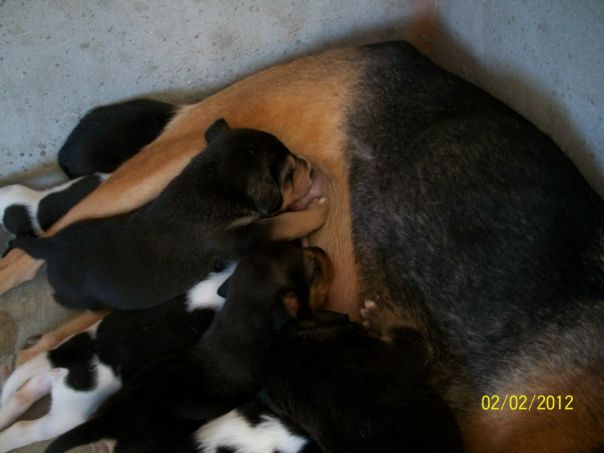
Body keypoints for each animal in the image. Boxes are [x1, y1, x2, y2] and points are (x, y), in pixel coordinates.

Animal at [12, 119, 326, 311]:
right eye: (289, 173)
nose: (308, 163)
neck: (211, 183)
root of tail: (49, 246)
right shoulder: (243, 236)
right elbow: (287, 222)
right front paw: (318, 211)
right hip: (75, 294)